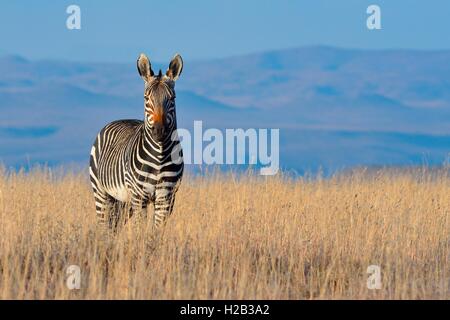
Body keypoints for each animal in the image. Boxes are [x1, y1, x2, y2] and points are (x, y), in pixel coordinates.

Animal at [89, 53, 184, 231]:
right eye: (146, 98)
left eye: (172, 98)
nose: (159, 131)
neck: (160, 156)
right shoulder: (139, 197)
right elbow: (141, 231)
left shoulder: (166, 197)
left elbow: (156, 233)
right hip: (102, 193)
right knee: (105, 227)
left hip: (123, 201)